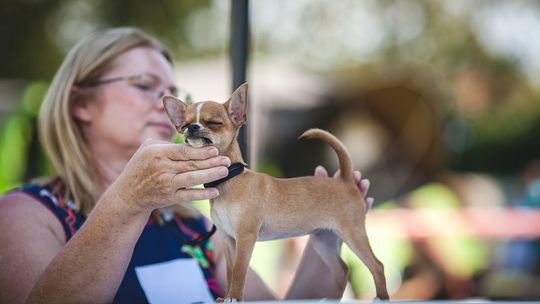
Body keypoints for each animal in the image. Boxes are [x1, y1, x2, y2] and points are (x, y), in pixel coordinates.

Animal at [162, 83, 386, 302]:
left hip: (352, 234)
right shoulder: (228, 241)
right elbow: (230, 271)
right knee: (342, 270)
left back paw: (381, 298)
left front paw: (234, 297)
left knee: (377, 266)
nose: (192, 127)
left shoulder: (245, 237)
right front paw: (225, 297)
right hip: (324, 240)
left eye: (213, 123)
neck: (228, 180)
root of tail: (345, 179)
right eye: (184, 124)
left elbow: (239, 272)